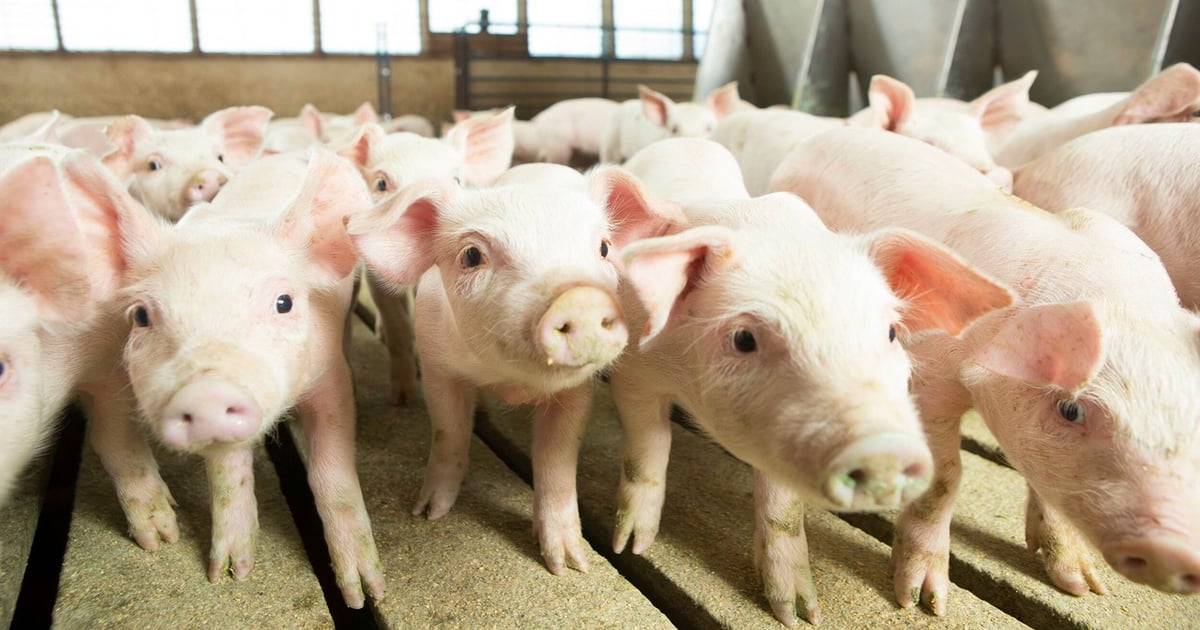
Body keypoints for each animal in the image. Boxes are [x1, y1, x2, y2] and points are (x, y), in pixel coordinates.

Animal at [91, 148, 384, 608]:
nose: (206, 393)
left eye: (284, 302)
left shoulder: (328, 378)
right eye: (140, 316)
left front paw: (363, 594)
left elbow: (330, 472)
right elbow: (227, 474)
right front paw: (228, 574)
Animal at [346, 164, 674, 576]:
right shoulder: (437, 365)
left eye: (603, 247)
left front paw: (568, 565)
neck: (512, 382)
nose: (580, 298)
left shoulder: (576, 391)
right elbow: (448, 433)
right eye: (472, 255)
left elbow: (557, 461)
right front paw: (428, 513)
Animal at [613, 138, 1013, 626]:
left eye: (891, 331)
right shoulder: (634, 367)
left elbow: (783, 508)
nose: (883, 448)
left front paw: (800, 615)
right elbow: (645, 450)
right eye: (744, 338)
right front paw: (631, 547)